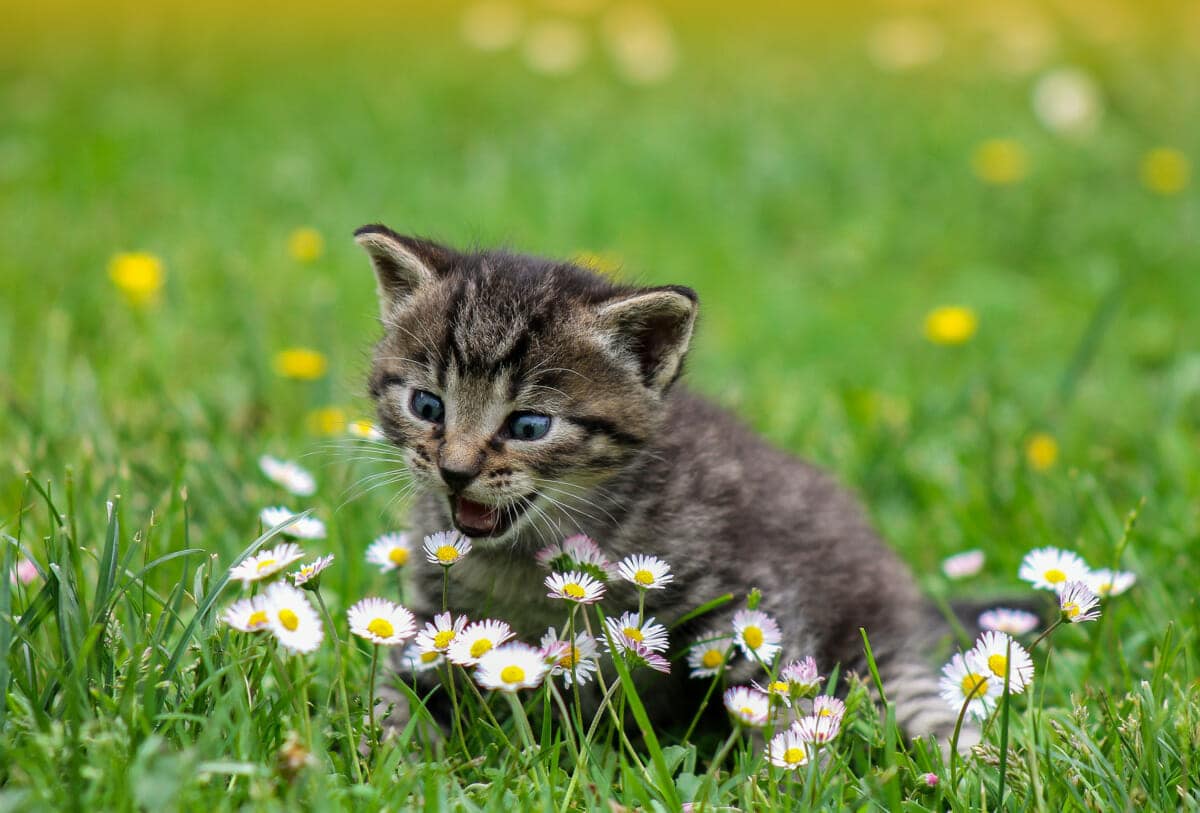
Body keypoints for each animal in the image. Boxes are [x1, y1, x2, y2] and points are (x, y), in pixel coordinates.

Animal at [355, 224, 964, 743]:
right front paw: (394, 747)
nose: (455, 471)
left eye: (529, 427)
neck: (524, 558)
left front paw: (778, 773)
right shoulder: (434, 619)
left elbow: (772, 696)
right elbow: (394, 692)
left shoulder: (755, 598)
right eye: (427, 405)